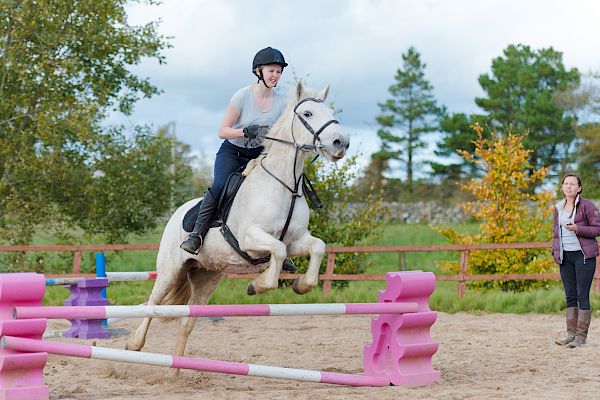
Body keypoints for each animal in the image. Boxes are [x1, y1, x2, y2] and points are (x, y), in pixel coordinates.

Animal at [126, 81, 352, 372]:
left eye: (331, 112)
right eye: (309, 114)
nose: (341, 143)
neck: (286, 185)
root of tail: (176, 213)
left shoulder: (296, 240)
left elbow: (317, 247)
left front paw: (301, 285)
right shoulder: (251, 239)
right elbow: (277, 251)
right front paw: (258, 285)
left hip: (207, 277)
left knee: (187, 321)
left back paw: (175, 370)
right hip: (170, 269)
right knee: (153, 303)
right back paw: (135, 344)